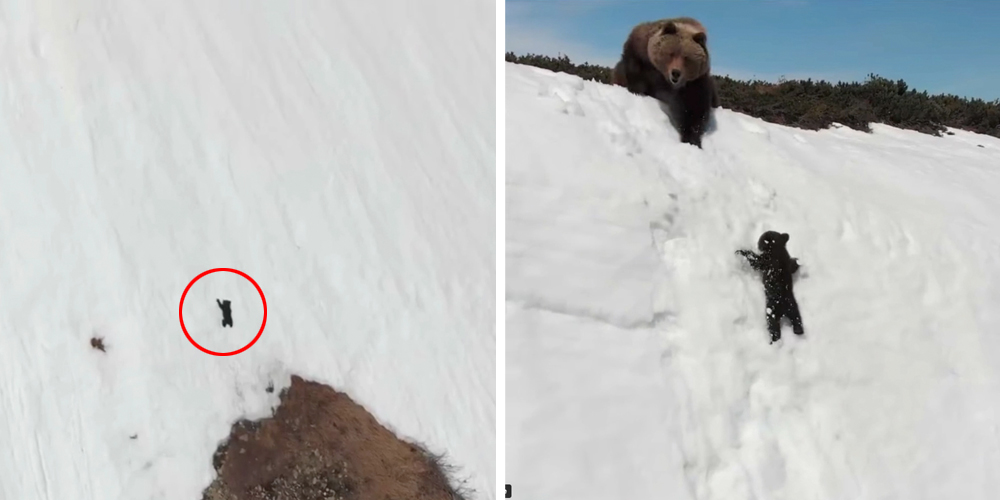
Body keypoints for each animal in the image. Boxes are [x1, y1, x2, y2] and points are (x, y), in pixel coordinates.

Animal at [608, 17, 720, 148]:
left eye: (686, 58)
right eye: (671, 53)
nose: (676, 72)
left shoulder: (694, 83)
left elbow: (694, 109)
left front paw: (692, 139)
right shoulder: (641, 53)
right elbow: (634, 70)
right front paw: (637, 90)